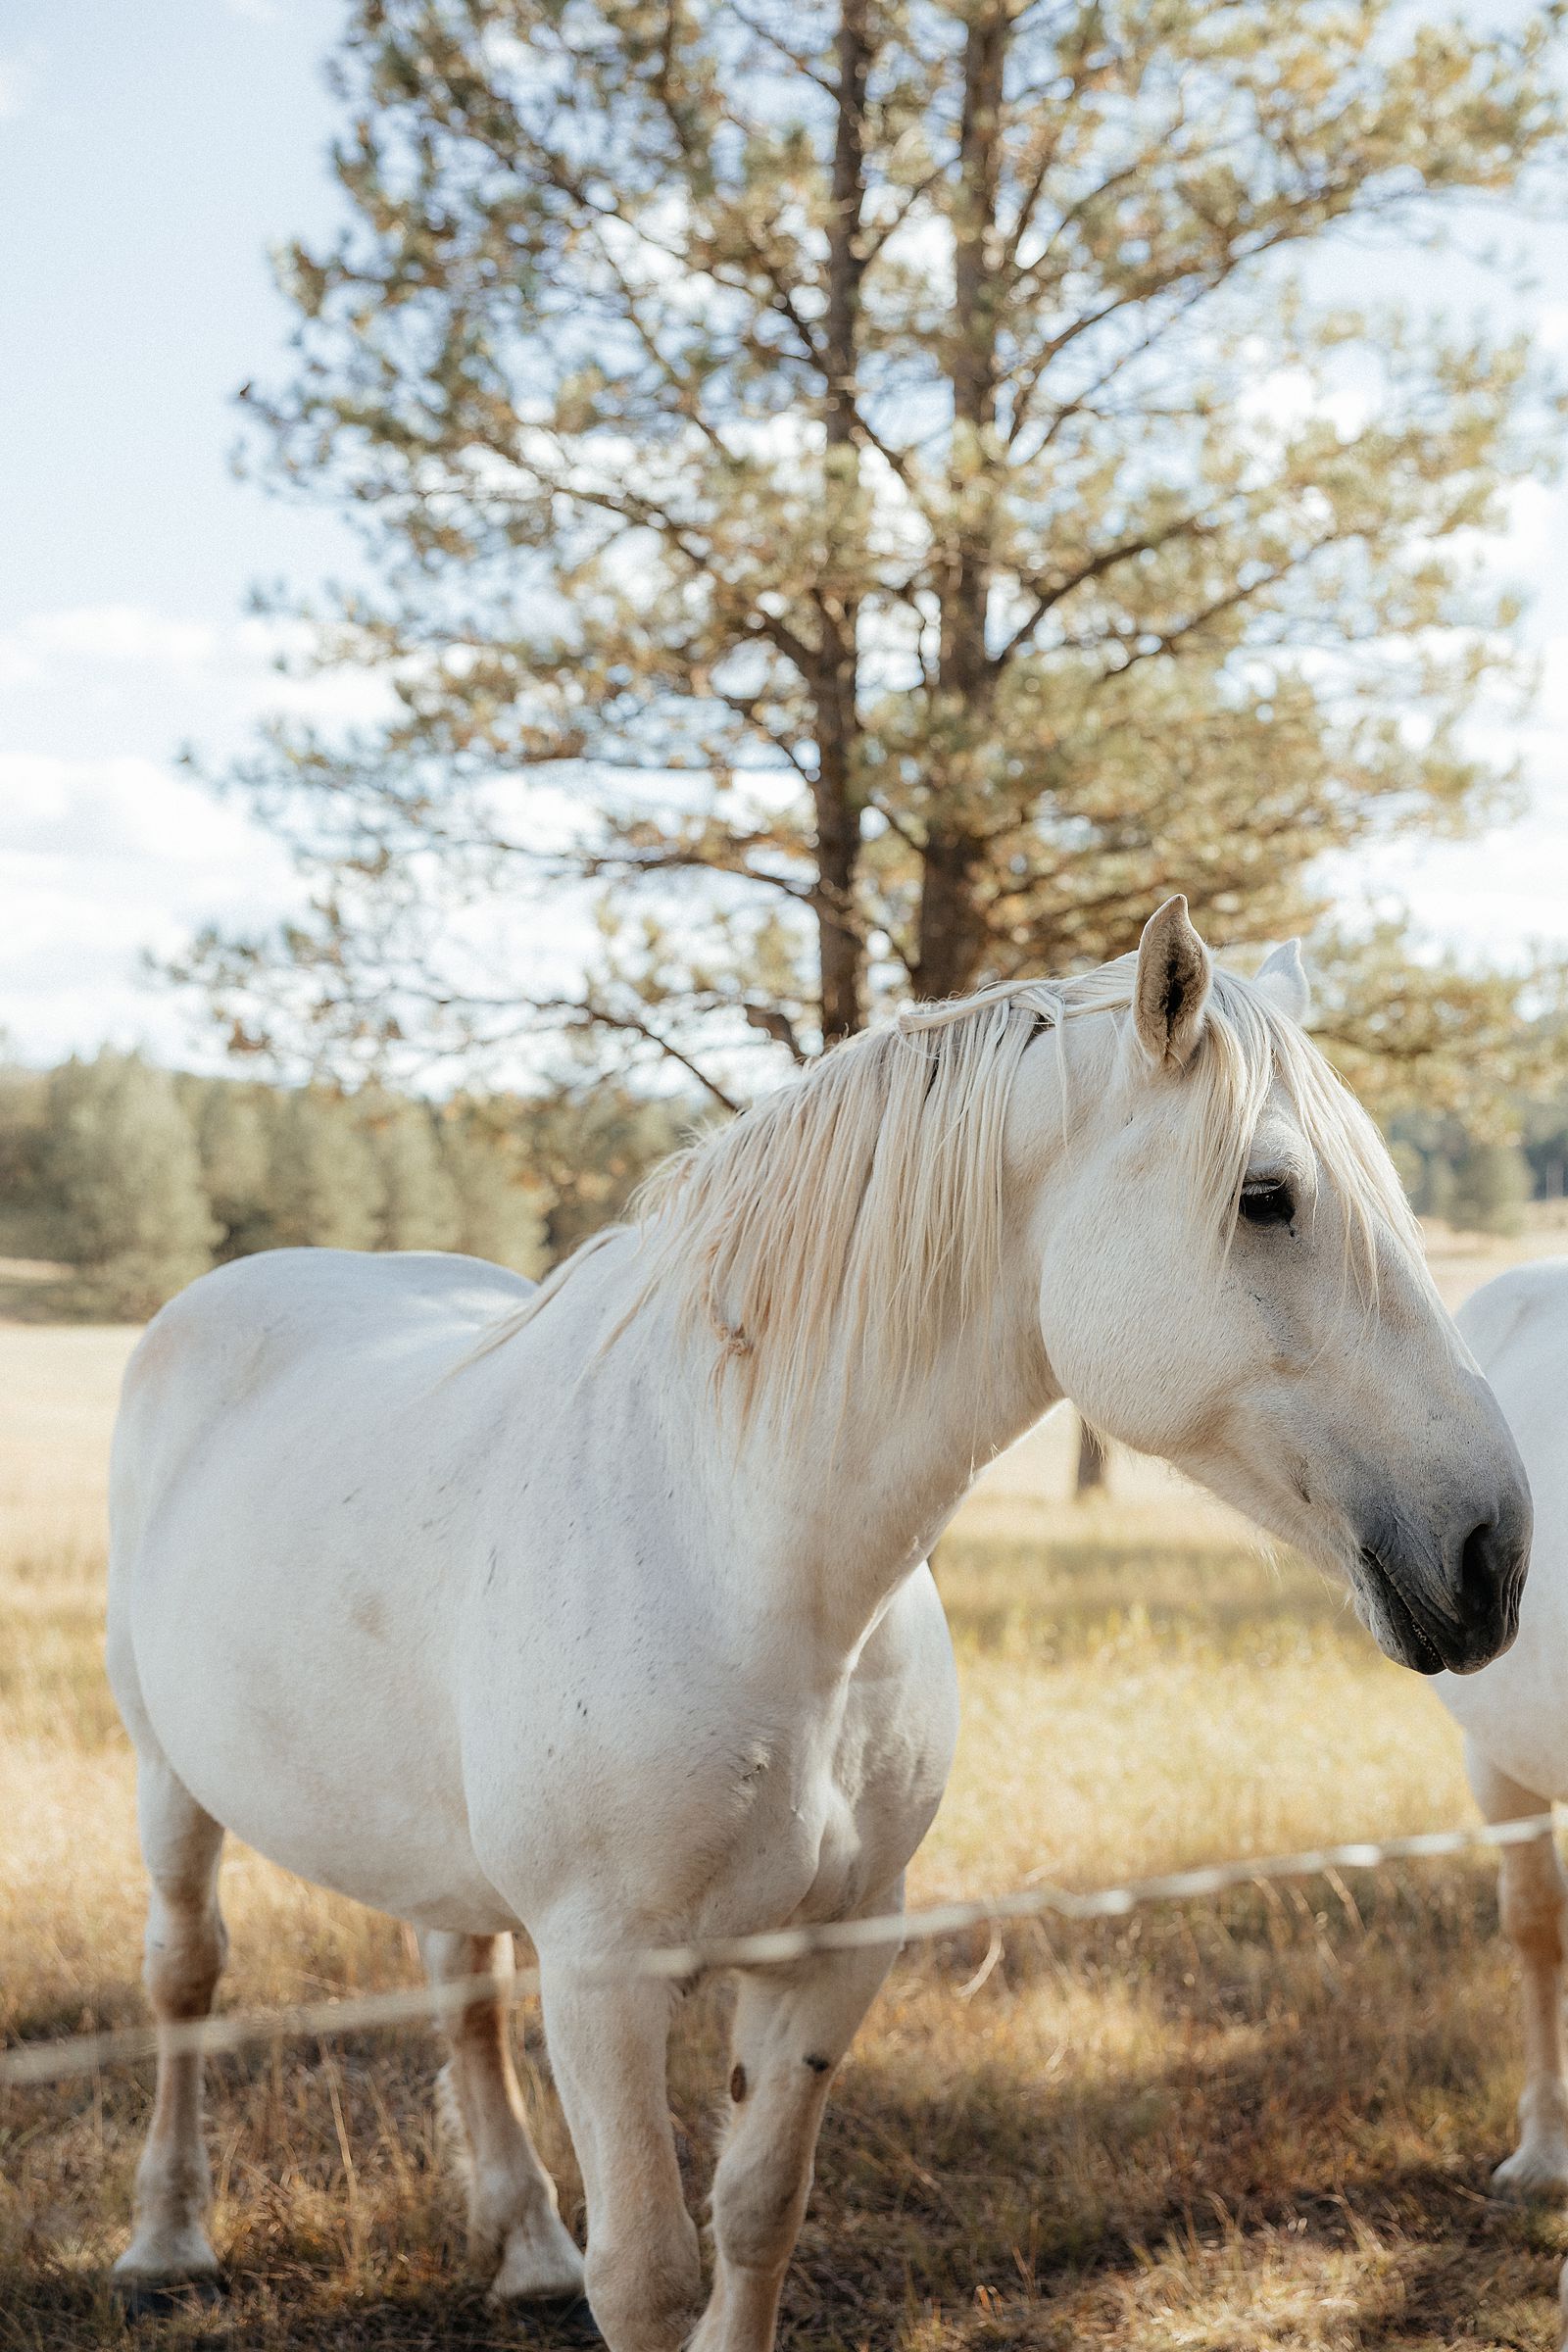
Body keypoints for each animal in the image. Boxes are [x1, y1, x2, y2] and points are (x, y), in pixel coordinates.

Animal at [105, 897, 1529, 2352]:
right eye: (1266, 1197)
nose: (1494, 1551)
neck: (746, 1563)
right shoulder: (602, 1979)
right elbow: (650, 2272)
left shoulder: (833, 1954)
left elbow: (756, 2216)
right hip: (170, 1782)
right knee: (186, 1977)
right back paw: (167, 2243)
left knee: (457, 1983)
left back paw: (523, 2247)